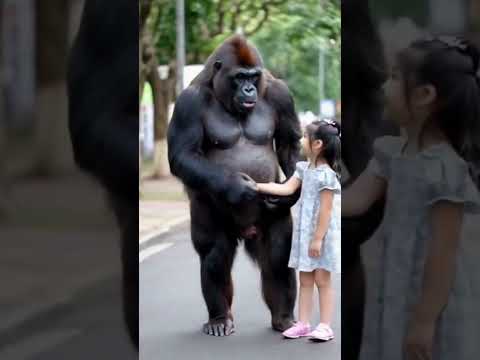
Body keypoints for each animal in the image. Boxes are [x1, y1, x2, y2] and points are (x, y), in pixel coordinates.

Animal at [168, 35, 300, 336]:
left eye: (253, 76)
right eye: (239, 77)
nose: (249, 89)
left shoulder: (281, 94)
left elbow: (289, 144)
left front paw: (292, 192)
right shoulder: (187, 102)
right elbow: (184, 154)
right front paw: (236, 188)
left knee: (278, 253)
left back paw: (283, 317)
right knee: (215, 255)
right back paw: (219, 318)